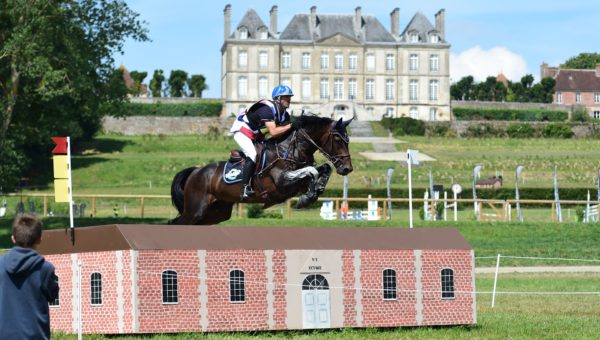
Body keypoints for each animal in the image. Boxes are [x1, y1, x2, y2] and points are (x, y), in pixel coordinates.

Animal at [169, 115, 354, 224]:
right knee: (176, 222)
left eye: (348, 140)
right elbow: (312, 171)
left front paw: (315, 192)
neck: (291, 149)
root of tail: (196, 172)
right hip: (195, 211)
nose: (347, 168)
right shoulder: (283, 182)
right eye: (338, 139)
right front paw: (307, 197)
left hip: (216, 212)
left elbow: (323, 169)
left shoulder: (297, 183)